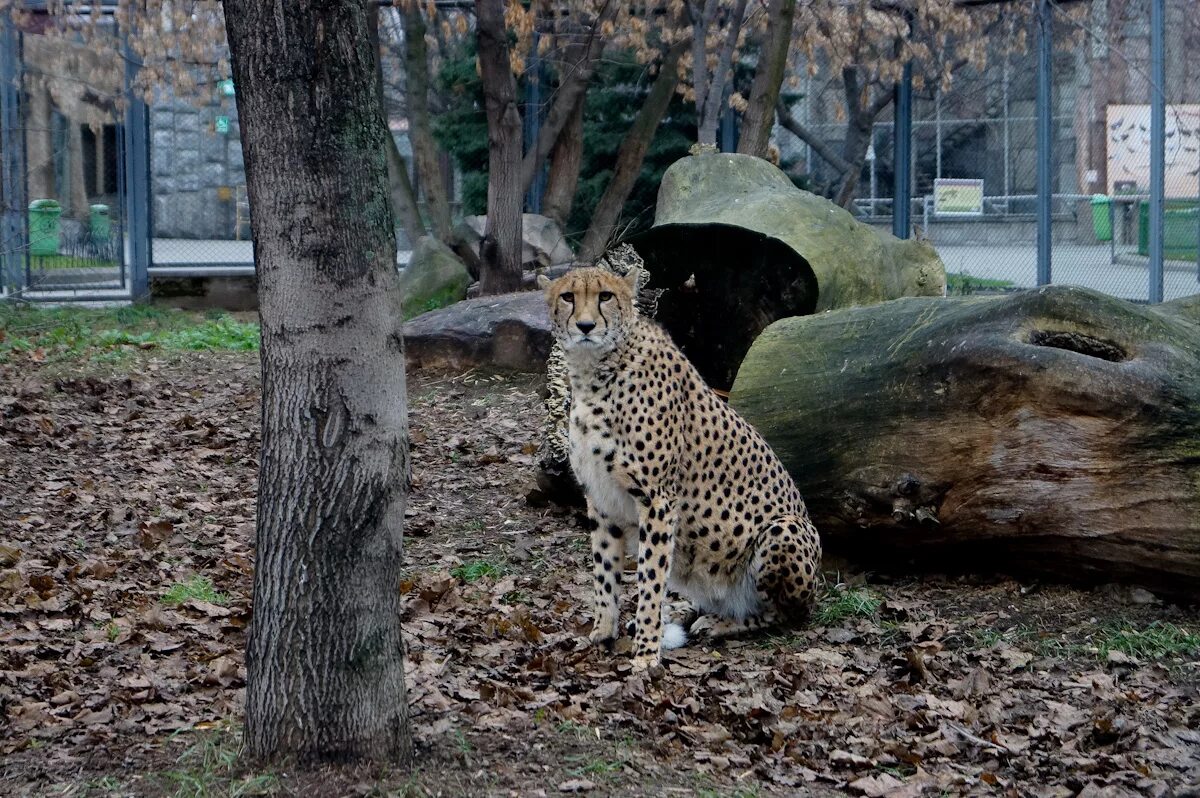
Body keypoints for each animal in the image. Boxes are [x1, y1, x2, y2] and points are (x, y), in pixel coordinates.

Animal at [540, 266, 820, 667]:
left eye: (605, 296)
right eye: (568, 297)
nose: (586, 326)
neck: (594, 373)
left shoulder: (657, 499)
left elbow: (650, 578)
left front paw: (645, 653)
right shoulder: (601, 500)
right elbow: (604, 573)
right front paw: (602, 633)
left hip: (784, 528)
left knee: (783, 614)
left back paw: (721, 623)